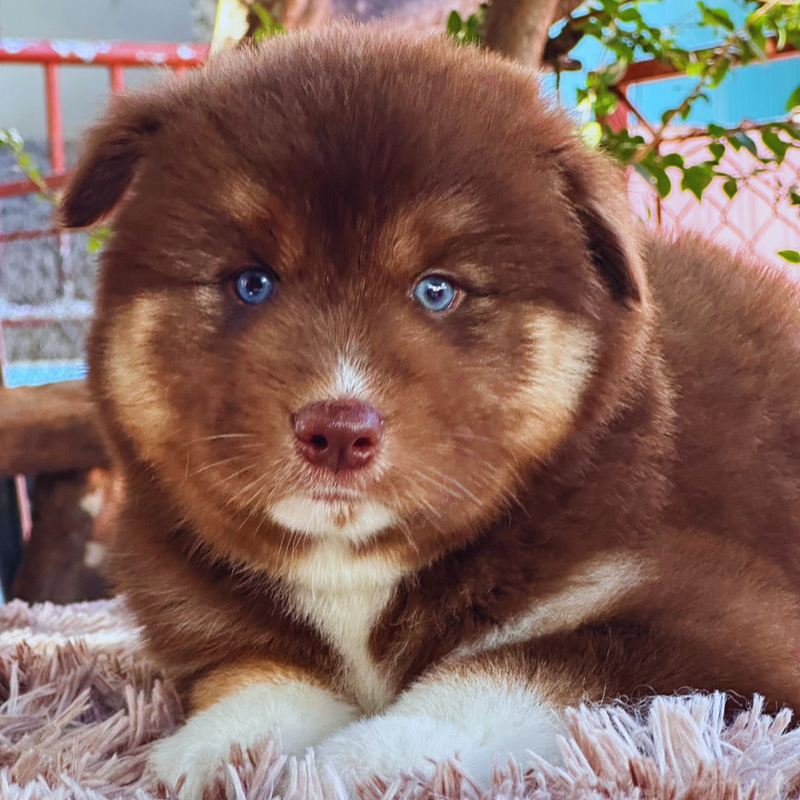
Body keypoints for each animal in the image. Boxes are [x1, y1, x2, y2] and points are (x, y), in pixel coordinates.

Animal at [59, 23, 800, 792]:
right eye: (251, 282)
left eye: (436, 290)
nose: (338, 432)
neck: (351, 569)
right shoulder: (208, 625)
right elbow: (260, 672)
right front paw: (222, 747)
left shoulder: (712, 614)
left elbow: (523, 672)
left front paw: (371, 757)